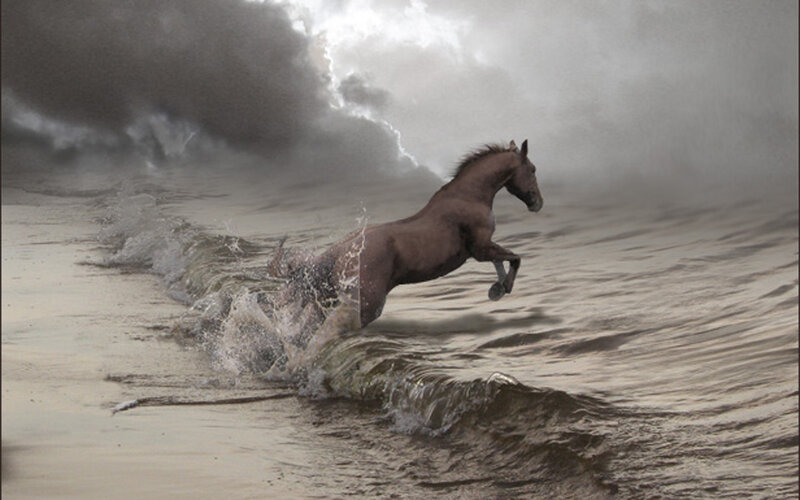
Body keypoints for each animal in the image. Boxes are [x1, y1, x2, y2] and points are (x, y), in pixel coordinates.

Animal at [270, 139, 543, 330]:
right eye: (532, 169)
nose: (537, 203)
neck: (469, 196)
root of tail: (339, 252)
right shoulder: (481, 248)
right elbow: (514, 258)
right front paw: (501, 289)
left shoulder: (484, 248)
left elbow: (504, 259)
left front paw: (496, 289)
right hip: (366, 304)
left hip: (327, 300)